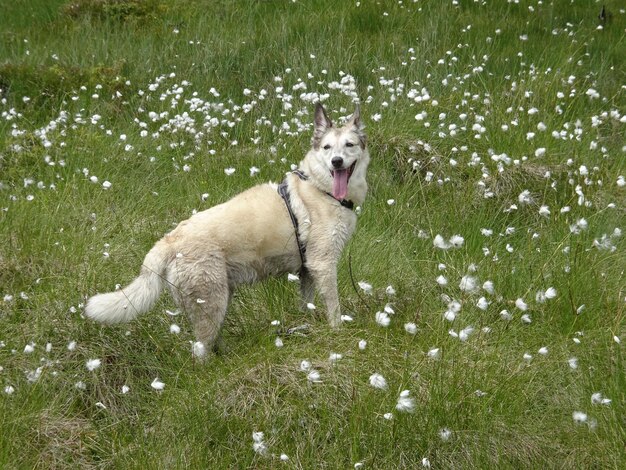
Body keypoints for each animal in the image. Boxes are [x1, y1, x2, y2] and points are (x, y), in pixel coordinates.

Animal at [83, 103, 366, 356]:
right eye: (327, 148)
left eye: (349, 145)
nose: (337, 162)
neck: (321, 187)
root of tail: (169, 240)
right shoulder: (323, 264)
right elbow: (334, 308)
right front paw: (337, 331)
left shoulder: (307, 270)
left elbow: (306, 304)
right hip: (212, 303)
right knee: (199, 350)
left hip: (219, 298)